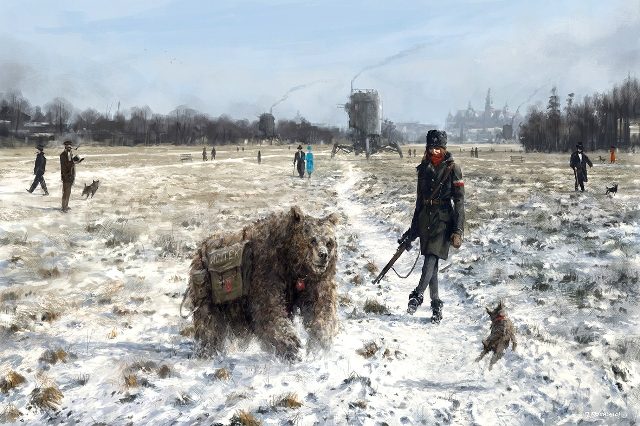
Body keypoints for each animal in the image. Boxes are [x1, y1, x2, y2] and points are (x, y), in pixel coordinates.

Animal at [185, 206, 339, 361]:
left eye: (329, 242)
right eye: (312, 240)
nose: (323, 255)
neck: (293, 263)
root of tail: (200, 248)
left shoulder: (311, 281)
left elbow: (319, 306)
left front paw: (320, 342)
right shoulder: (266, 272)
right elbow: (269, 311)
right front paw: (291, 345)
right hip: (207, 289)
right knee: (209, 323)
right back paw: (208, 351)